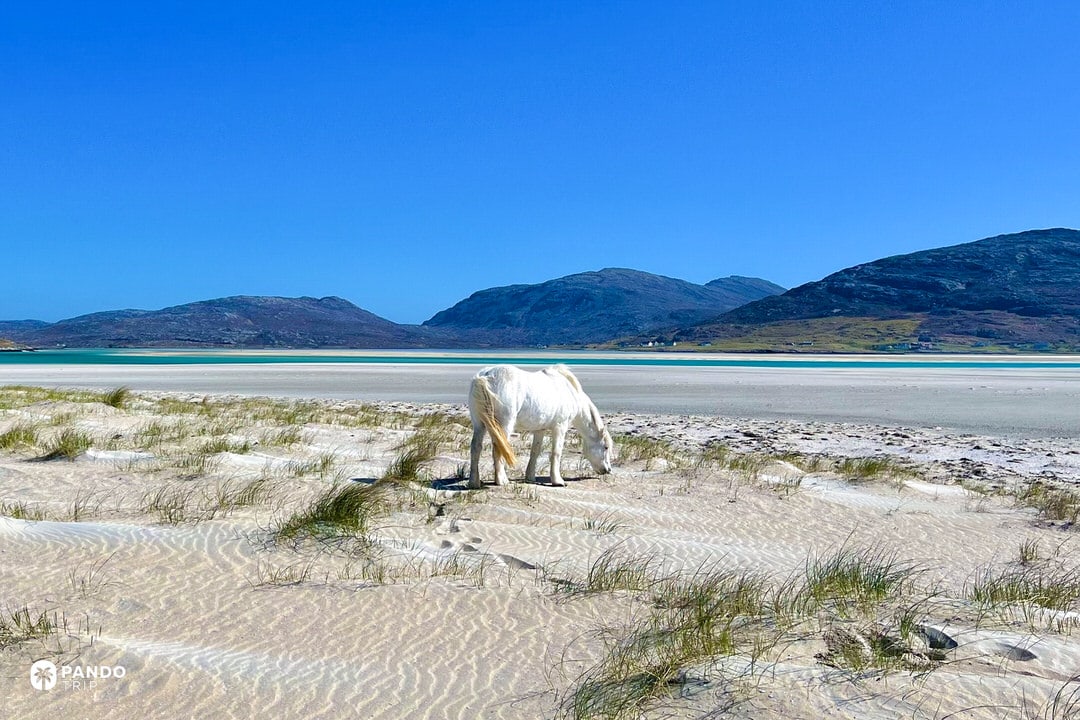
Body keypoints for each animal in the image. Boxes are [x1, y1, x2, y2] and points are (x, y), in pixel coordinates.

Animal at [468, 364, 614, 489]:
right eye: (605, 447)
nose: (608, 470)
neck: (570, 391)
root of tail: (485, 376)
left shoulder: (540, 430)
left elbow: (535, 451)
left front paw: (530, 477)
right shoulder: (560, 427)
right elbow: (556, 453)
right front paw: (558, 481)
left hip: (479, 424)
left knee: (476, 447)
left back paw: (474, 482)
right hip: (504, 425)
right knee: (498, 447)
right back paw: (501, 480)